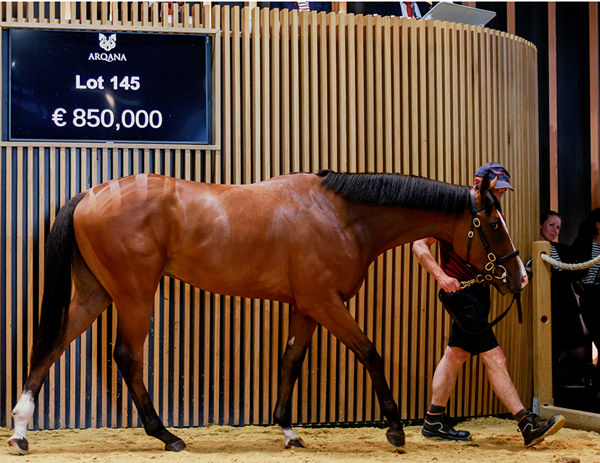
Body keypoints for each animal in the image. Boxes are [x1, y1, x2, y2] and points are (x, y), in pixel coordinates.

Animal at [8, 169, 524, 454]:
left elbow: (290, 362)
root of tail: (90, 195)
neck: (342, 214)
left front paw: (289, 431)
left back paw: (20, 431)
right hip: (135, 294)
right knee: (127, 358)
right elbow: (370, 352)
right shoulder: (326, 302)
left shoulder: (307, 307)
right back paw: (166, 435)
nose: (519, 277)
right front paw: (396, 430)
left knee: (51, 347)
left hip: (95, 293)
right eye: (494, 223)